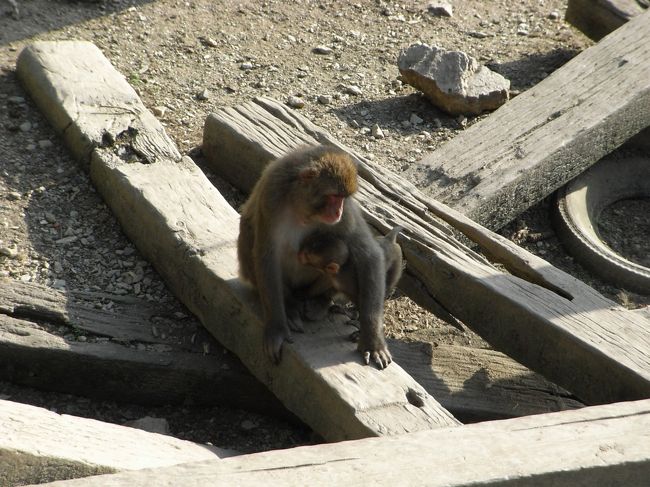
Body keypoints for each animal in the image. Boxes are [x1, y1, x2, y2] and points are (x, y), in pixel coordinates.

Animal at [237, 145, 390, 370]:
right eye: (333, 196)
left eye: (342, 198)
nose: (338, 211)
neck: (300, 206)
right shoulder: (271, 197)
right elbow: (266, 256)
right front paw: (277, 328)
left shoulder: (346, 214)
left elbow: (368, 255)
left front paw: (372, 340)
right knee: (249, 232)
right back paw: (290, 305)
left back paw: (319, 301)